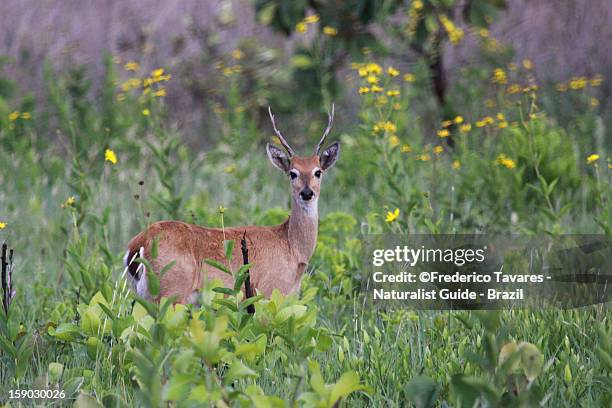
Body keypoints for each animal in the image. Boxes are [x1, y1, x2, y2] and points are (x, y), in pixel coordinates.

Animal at [125, 107, 340, 304]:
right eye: (292, 173)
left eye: (318, 171)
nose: (307, 193)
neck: (291, 247)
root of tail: (138, 245)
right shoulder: (269, 290)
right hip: (171, 290)